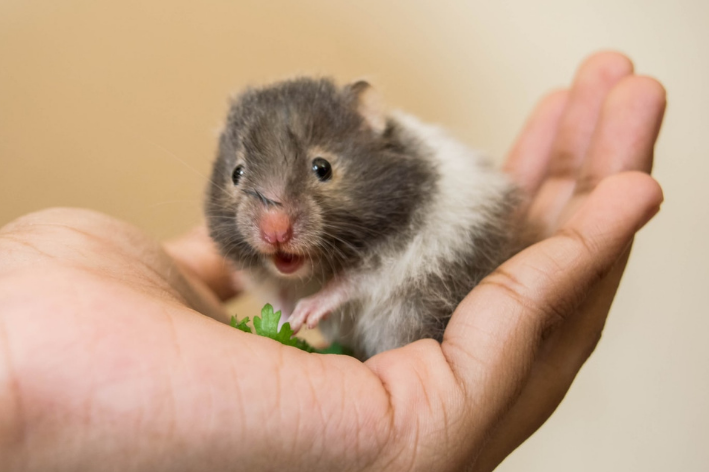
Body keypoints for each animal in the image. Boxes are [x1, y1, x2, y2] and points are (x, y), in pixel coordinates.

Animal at [203, 77, 516, 360]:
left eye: (323, 168)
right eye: (236, 174)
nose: (275, 232)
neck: (314, 271)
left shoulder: (396, 254)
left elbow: (348, 282)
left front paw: (305, 314)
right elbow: (279, 297)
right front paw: (285, 321)